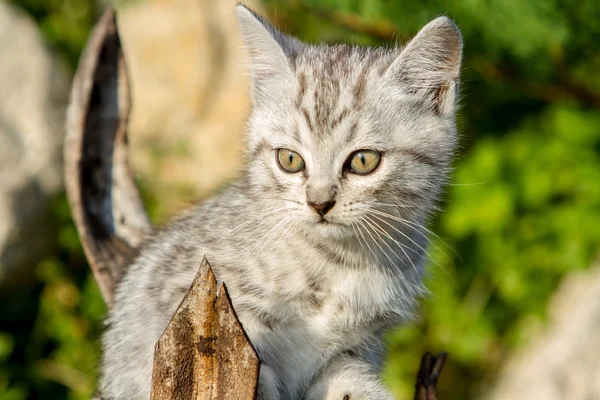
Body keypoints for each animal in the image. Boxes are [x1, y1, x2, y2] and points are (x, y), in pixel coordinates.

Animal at [101, 3, 462, 400]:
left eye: (364, 161)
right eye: (289, 159)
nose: (319, 203)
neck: (342, 262)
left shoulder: (353, 348)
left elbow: (347, 380)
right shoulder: (191, 312)